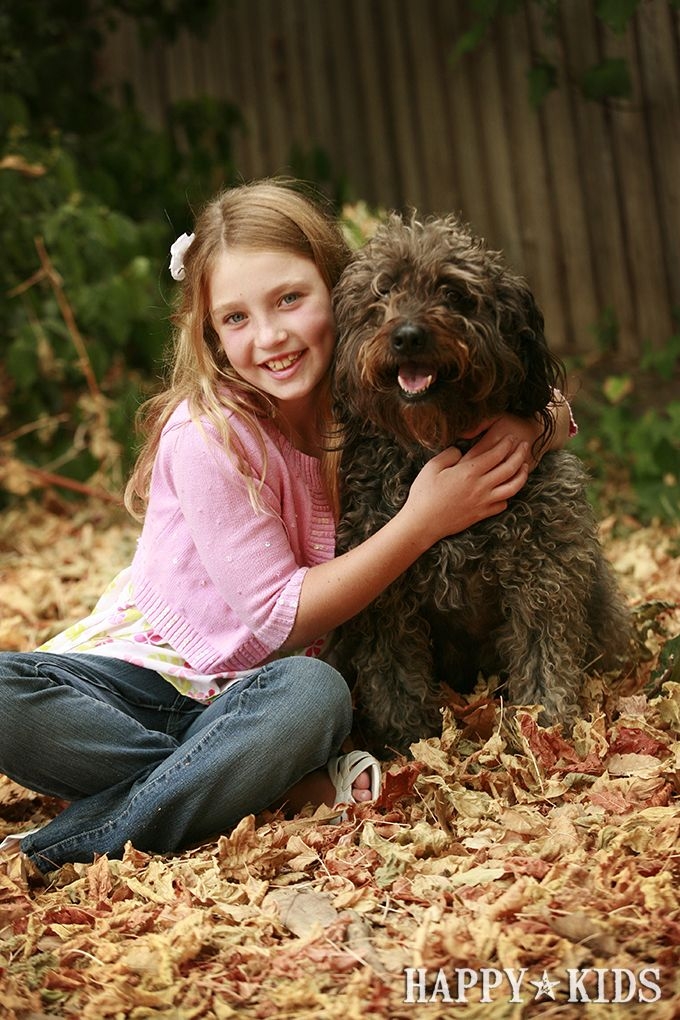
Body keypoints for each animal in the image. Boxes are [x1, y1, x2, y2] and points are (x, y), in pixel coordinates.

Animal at [330, 213, 632, 758]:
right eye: (384, 289)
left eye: (453, 293)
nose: (407, 336)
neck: (438, 447)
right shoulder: (384, 596)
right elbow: (394, 675)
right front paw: (407, 742)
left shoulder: (543, 577)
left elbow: (542, 654)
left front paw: (542, 728)